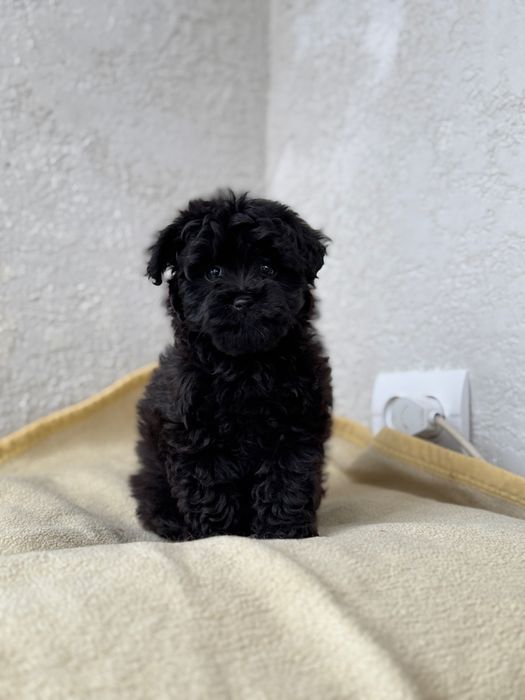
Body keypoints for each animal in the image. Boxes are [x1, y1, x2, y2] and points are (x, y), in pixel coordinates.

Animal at [130, 191, 332, 540]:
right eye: (213, 272)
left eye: (267, 268)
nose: (243, 300)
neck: (245, 366)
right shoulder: (196, 435)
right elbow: (209, 485)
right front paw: (218, 535)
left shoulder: (296, 426)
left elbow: (286, 478)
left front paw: (284, 531)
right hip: (152, 477)